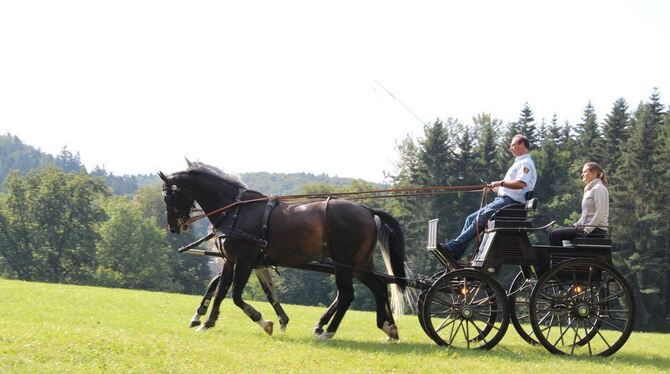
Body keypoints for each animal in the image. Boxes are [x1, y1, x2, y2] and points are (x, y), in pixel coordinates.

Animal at [159, 165, 410, 340]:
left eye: (168, 196)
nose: (173, 227)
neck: (236, 210)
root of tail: (367, 210)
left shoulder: (244, 261)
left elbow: (237, 296)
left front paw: (264, 322)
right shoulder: (232, 261)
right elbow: (220, 291)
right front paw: (207, 322)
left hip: (343, 264)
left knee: (347, 294)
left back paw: (328, 332)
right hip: (359, 264)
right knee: (378, 288)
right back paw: (388, 327)